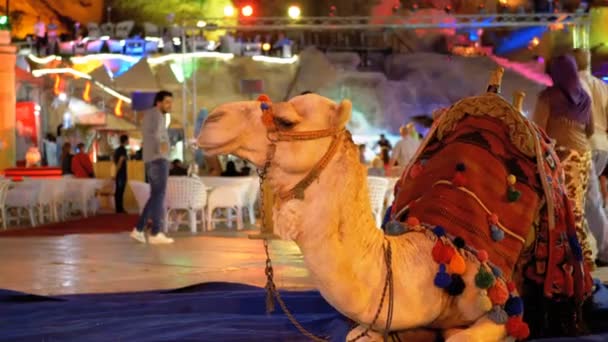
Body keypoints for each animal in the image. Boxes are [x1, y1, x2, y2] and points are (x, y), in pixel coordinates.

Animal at [197, 71, 592, 340]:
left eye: (286, 119)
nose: (211, 119)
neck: (431, 259)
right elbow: (358, 334)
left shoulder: (501, 306)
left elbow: (466, 335)